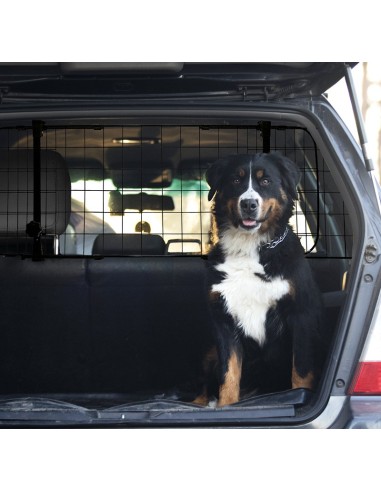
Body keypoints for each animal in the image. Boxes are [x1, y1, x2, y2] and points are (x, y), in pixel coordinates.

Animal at [196, 153, 326, 408]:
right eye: (236, 180)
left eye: (265, 181)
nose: (248, 204)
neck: (247, 249)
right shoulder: (223, 322)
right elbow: (229, 374)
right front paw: (226, 406)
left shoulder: (301, 315)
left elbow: (301, 371)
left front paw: (299, 396)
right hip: (209, 353)